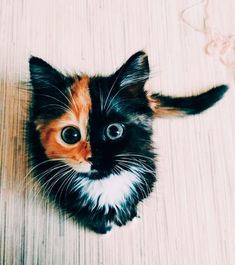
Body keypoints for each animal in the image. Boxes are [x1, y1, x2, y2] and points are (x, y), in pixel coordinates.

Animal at [27, 50, 228, 232]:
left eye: (114, 130)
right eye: (70, 135)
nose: (94, 158)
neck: (105, 183)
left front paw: (128, 217)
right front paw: (103, 228)